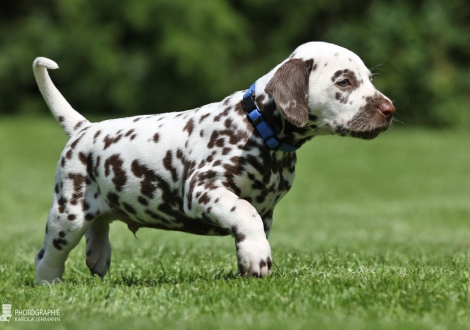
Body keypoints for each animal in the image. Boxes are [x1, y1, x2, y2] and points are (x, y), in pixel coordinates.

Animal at [32, 41, 392, 284]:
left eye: (368, 79)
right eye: (344, 81)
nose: (390, 110)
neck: (257, 129)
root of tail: (84, 128)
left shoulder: (266, 211)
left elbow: (252, 228)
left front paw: (249, 261)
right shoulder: (203, 189)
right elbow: (245, 214)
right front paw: (257, 257)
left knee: (100, 223)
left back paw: (98, 255)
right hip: (68, 213)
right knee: (48, 254)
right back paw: (50, 284)